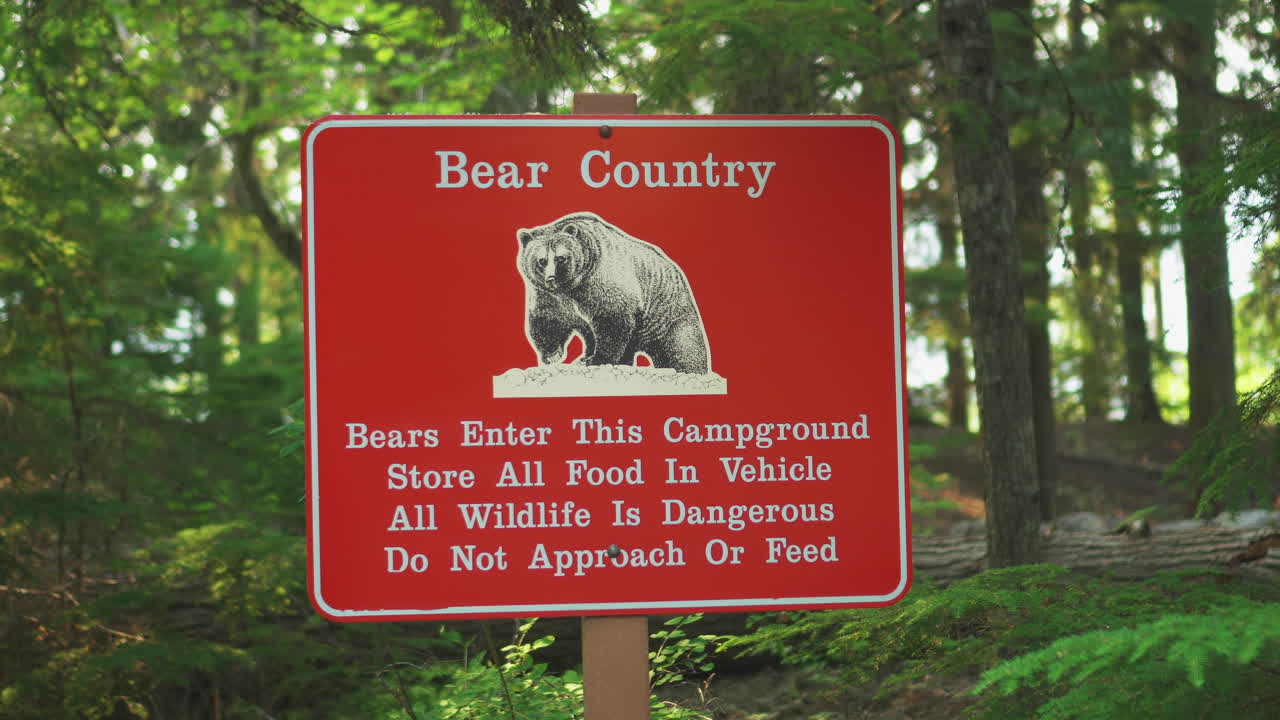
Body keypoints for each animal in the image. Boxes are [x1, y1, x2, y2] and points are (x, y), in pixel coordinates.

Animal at [515, 212, 711, 374]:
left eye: (561, 258)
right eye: (541, 260)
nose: (551, 278)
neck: (571, 287)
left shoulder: (602, 284)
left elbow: (613, 321)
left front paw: (596, 359)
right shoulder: (549, 297)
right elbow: (547, 320)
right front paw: (552, 355)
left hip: (667, 316)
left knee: (683, 350)